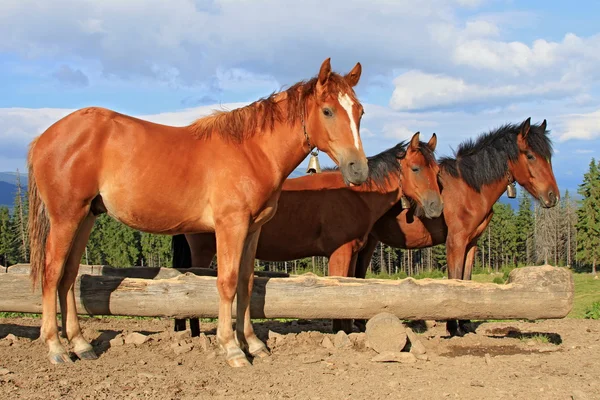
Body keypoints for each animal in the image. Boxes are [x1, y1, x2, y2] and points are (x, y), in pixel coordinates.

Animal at [27, 57, 370, 368]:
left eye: (360, 111)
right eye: (327, 110)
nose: (359, 170)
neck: (252, 151)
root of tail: (44, 137)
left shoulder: (253, 229)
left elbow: (246, 283)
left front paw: (254, 344)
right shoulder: (230, 226)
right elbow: (227, 282)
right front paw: (232, 349)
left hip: (86, 216)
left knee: (69, 275)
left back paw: (81, 344)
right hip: (66, 217)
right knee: (52, 273)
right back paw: (56, 348)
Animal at [171, 130, 442, 334]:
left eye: (437, 172)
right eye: (416, 168)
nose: (436, 207)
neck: (355, 195)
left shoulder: (353, 252)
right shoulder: (339, 253)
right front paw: (341, 333)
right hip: (204, 252)